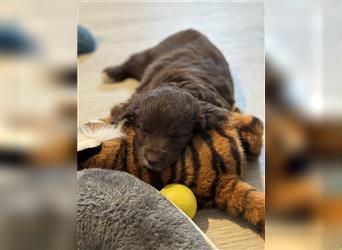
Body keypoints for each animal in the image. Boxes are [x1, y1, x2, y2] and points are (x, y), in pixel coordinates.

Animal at [103, 28, 238, 171]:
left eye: (177, 135)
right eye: (143, 130)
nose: (152, 160)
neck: (182, 83)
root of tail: (192, 30)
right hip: (149, 56)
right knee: (133, 60)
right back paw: (110, 73)